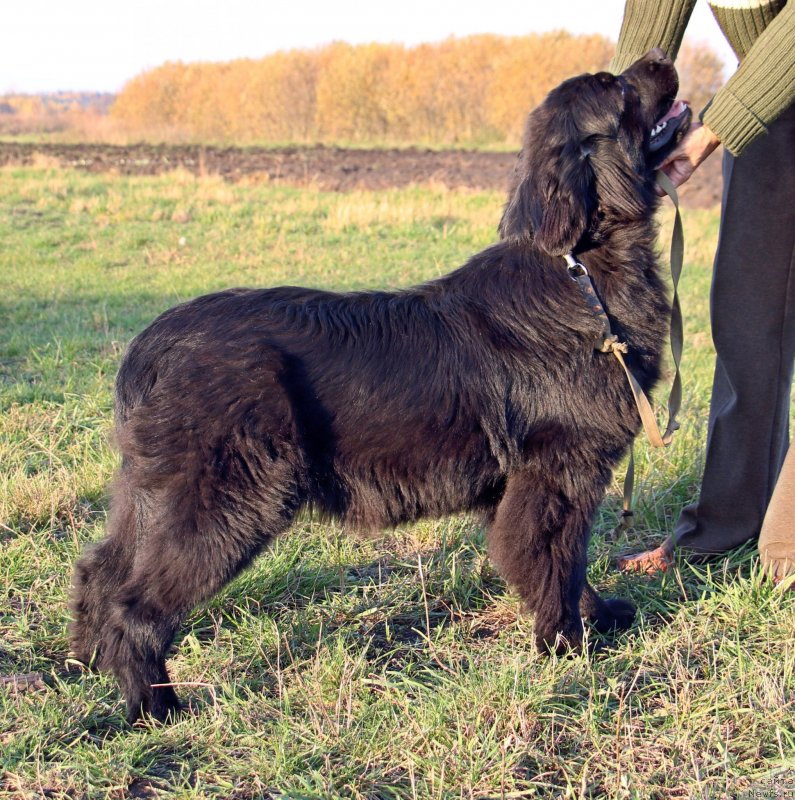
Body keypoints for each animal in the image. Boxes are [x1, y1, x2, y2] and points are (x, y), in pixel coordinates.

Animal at [70, 51, 692, 724]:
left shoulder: (532, 481)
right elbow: (558, 561)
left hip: (150, 496)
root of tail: (152, 345)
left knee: (99, 573)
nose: (663, 58)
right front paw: (567, 647)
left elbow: (569, 567)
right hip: (225, 503)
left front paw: (598, 620)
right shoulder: (558, 471)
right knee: (136, 606)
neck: (581, 270)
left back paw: (87, 667)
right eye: (614, 85)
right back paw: (155, 707)